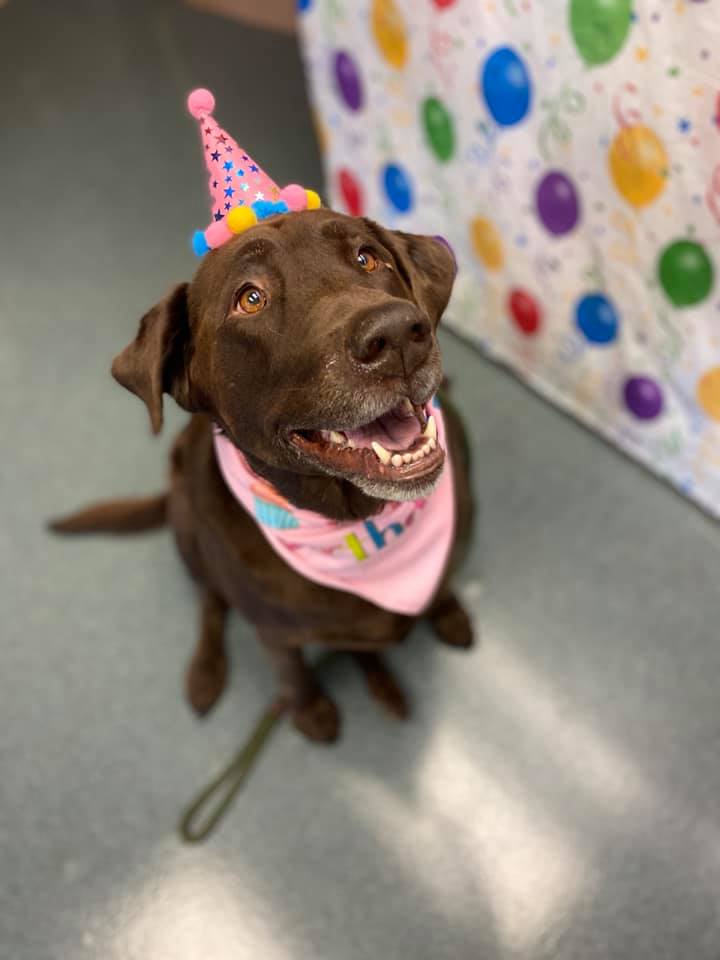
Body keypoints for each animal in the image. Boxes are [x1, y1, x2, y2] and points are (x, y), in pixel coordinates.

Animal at [51, 208, 475, 743]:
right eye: (250, 299)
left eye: (367, 257)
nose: (398, 334)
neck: (357, 523)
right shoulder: (274, 629)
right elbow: (291, 667)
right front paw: (310, 709)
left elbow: (438, 584)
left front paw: (443, 612)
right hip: (190, 538)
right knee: (211, 602)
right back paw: (206, 673)